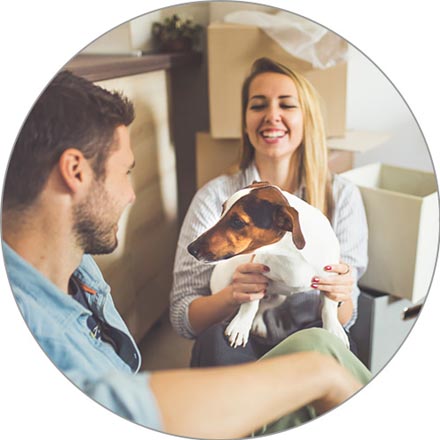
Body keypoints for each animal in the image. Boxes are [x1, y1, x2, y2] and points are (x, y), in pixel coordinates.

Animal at [187, 180, 348, 348]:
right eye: (222, 210)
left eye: (237, 222)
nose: (191, 249)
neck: (289, 253)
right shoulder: (255, 275)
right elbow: (250, 303)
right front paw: (240, 325)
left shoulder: (330, 279)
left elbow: (329, 307)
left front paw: (333, 329)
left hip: (278, 297)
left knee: (263, 307)